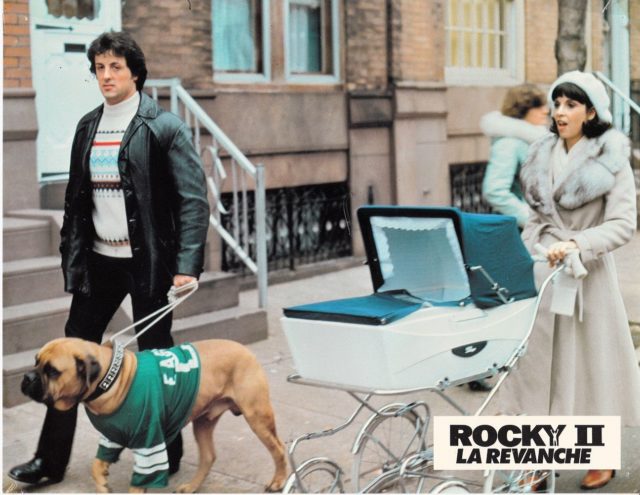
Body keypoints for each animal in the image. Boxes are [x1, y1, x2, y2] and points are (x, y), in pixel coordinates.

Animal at [21, 338, 288, 492]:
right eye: (36, 361)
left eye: (52, 371)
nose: (27, 377)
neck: (111, 379)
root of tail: (244, 349)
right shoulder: (112, 437)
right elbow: (97, 465)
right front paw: (103, 483)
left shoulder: (148, 446)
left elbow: (138, 483)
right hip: (203, 422)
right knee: (209, 456)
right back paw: (192, 486)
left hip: (257, 416)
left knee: (279, 448)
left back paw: (279, 481)